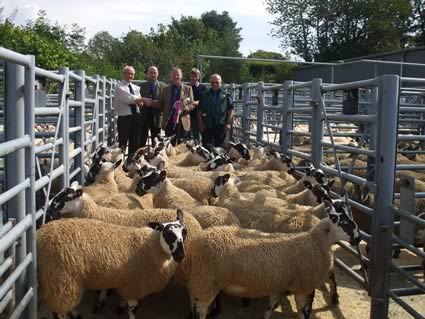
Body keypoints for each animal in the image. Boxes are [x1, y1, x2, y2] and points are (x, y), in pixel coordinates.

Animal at [36, 210, 187, 319]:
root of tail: (41, 234)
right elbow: (132, 309)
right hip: (61, 278)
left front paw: (118, 306)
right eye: (168, 234)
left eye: (184, 232)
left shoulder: (127, 282)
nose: (180, 256)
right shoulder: (135, 285)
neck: (152, 246)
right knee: (60, 310)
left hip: (66, 281)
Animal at [184, 198, 360, 319]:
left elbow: (270, 307)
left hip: (201, 281)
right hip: (207, 282)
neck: (316, 241)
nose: (357, 239)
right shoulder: (301, 288)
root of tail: (196, 243)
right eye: (344, 222)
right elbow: (302, 312)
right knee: (200, 310)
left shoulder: (279, 286)